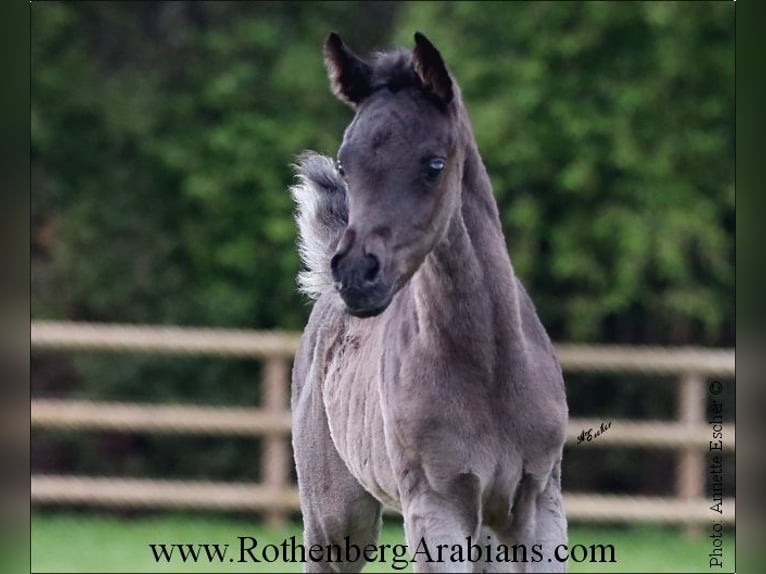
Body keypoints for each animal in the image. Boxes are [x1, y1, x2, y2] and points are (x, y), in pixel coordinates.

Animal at [292, 32, 568, 574]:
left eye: (434, 165)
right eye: (344, 164)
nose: (355, 273)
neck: (491, 367)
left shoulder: (540, 503)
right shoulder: (436, 504)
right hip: (336, 520)